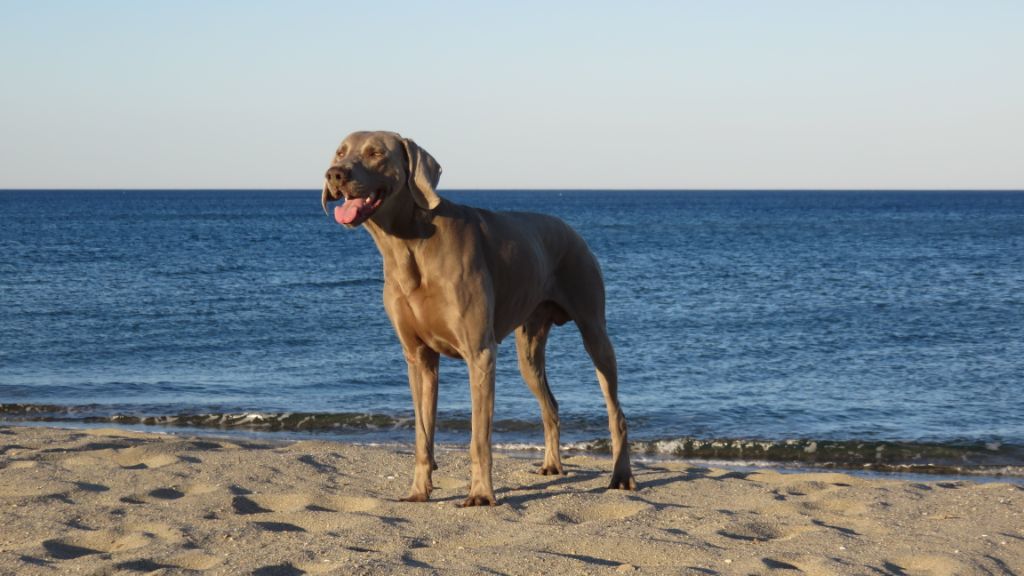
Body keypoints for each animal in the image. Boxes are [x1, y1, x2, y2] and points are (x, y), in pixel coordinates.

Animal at [323, 131, 634, 506]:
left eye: (375, 153)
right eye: (340, 152)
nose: (335, 174)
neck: (408, 245)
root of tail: (569, 228)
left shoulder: (480, 354)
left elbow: (479, 438)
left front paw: (482, 494)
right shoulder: (418, 357)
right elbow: (422, 434)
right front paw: (418, 491)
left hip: (594, 329)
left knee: (615, 410)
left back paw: (621, 475)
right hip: (528, 352)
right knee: (551, 405)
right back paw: (551, 464)